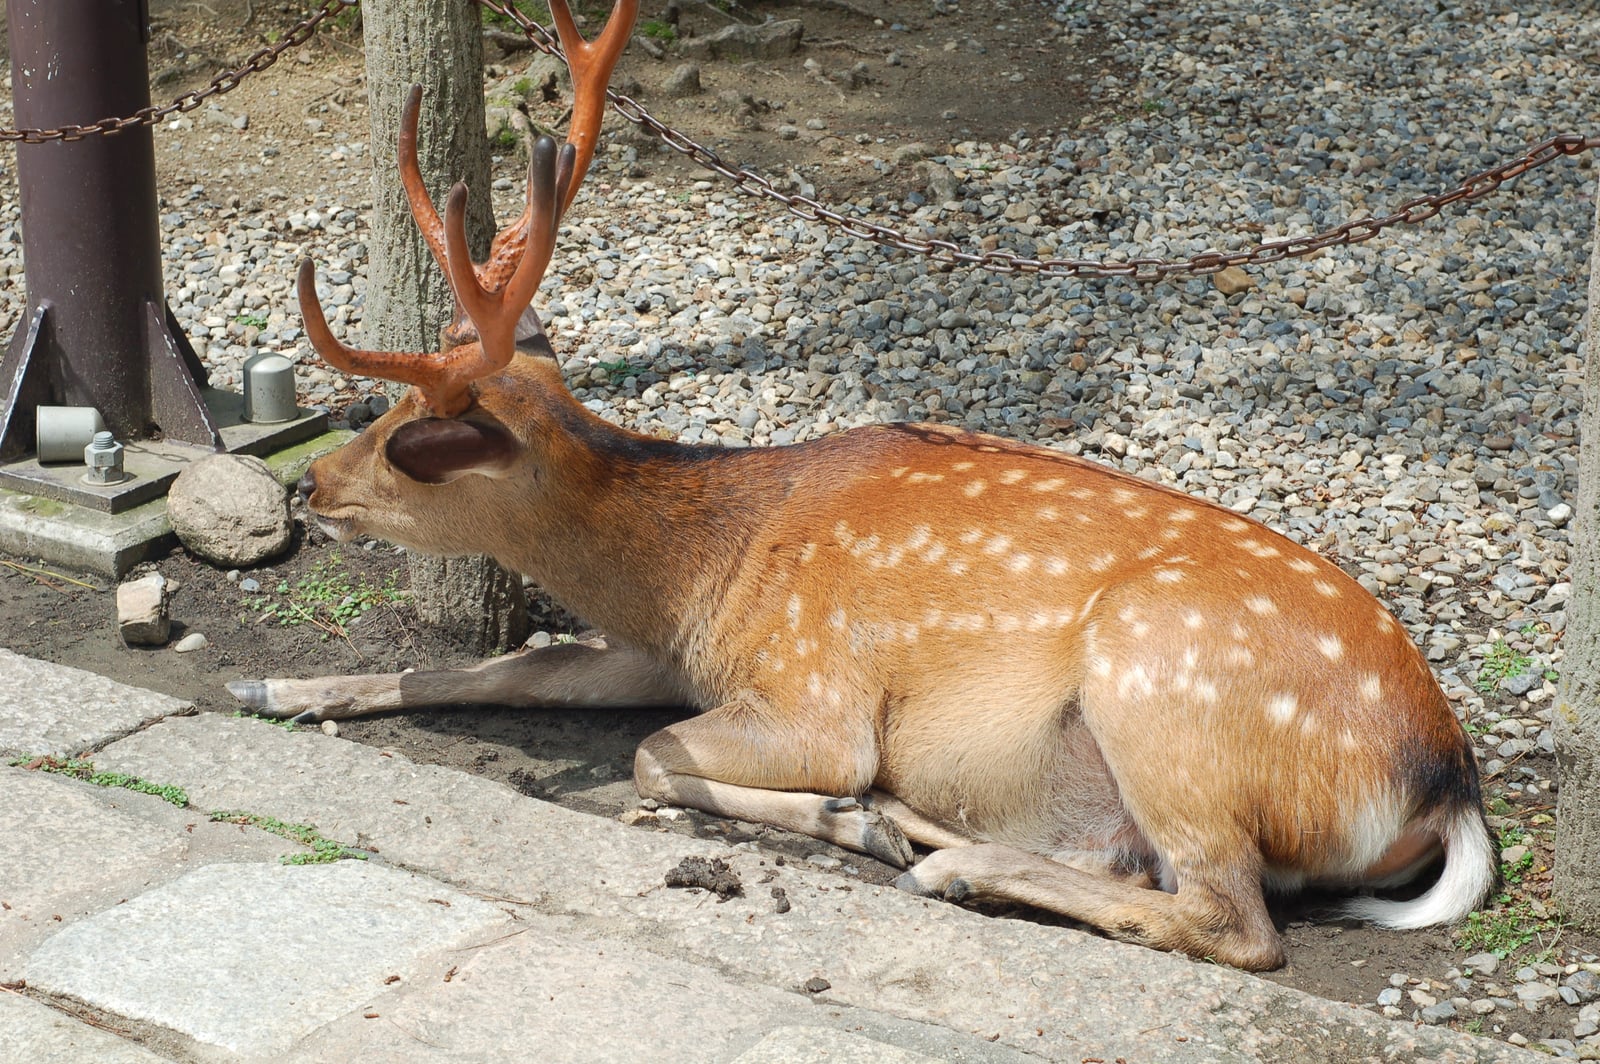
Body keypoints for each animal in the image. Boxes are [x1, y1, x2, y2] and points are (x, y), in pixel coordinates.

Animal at [228, 0, 1497, 971]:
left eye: (409, 434)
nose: (311, 485)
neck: (704, 567)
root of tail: (1443, 777)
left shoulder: (808, 692)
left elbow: (651, 753)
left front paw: (844, 811)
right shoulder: (662, 648)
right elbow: (502, 669)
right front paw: (272, 690)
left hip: (1162, 686)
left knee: (1233, 916)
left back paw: (947, 859)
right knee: (1149, 871)